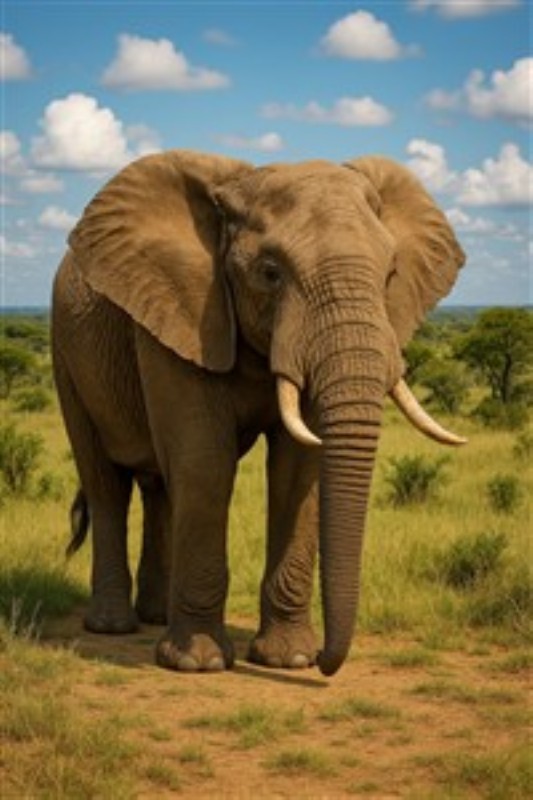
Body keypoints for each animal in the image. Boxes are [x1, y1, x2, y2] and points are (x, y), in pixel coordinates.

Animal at [51, 150, 466, 676]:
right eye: (270, 273)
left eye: (391, 274)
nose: (327, 663)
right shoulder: (186, 312)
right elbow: (205, 463)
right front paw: (200, 663)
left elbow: (298, 470)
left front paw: (289, 659)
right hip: (65, 354)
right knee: (106, 484)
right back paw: (113, 627)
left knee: (160, 487)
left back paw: (156, 616)